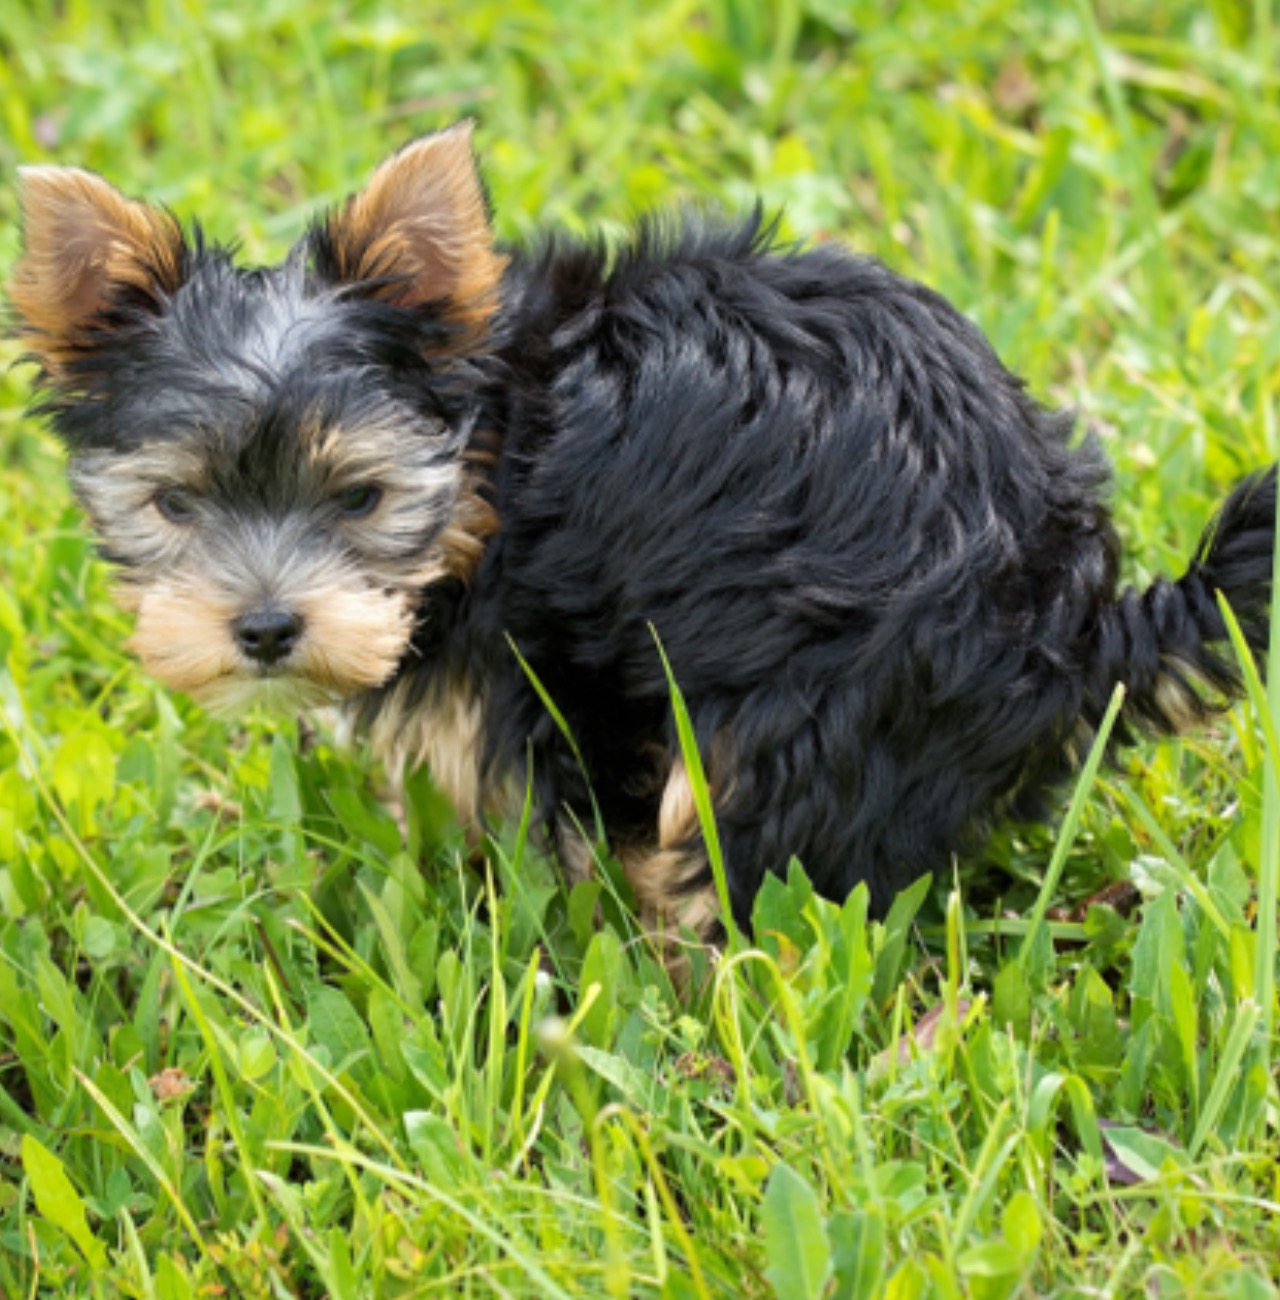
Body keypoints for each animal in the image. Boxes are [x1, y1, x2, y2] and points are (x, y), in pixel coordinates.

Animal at [12, 122, 1278, 935]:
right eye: (177, 503)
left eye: (360, 498)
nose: (268, 629)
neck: (492, 452)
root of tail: (1078, 618)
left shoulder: (546, 671)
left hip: (821, 704)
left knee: (744, 863)